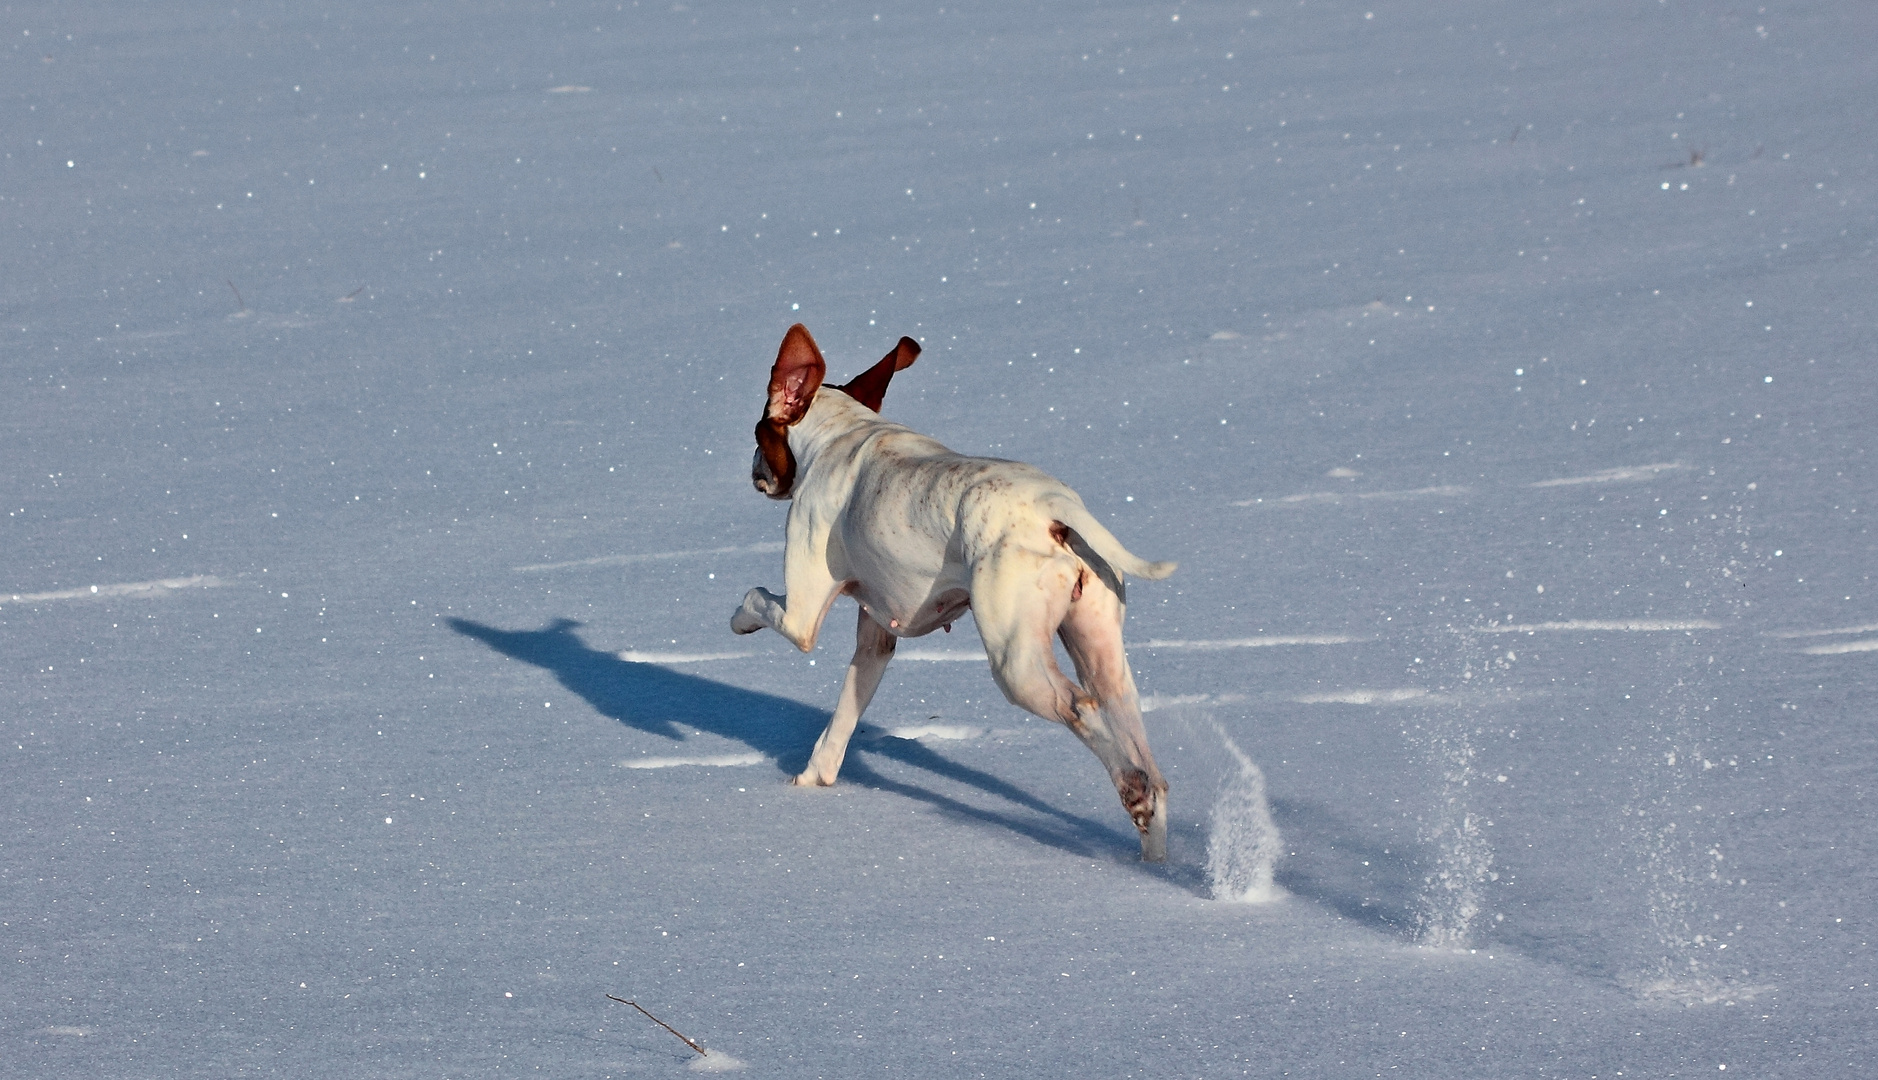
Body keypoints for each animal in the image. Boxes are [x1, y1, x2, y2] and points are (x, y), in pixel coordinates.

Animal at [728, 321, 1171, 864]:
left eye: (758, 433)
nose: (754, 469)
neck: (843, 432)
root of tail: (1054, 507)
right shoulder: (877, 641)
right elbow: (841, 723)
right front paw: (812, 780)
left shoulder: (801, 615)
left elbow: (757, 597)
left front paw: (739, 620)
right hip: (1101, 653)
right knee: (1146, 757)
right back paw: (1154, 858)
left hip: (1017, 666)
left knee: (1088, 716)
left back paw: (1133, 794)